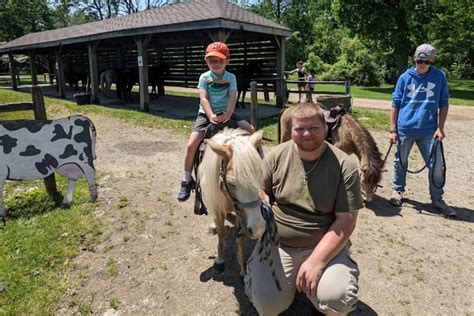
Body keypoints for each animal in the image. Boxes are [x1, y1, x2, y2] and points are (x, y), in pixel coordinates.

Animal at [197, 127, 266, 276]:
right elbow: (221, 234)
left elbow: (240, 237)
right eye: (231, 182)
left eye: (260, 176)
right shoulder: (218, 209)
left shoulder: (240, 210)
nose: (258, 229)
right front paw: (219, 261)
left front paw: (244, 267)